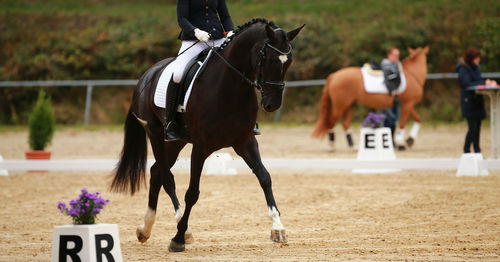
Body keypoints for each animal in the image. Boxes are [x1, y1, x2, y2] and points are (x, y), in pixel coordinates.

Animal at [111, 17, 302, 252]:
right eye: (270, 60)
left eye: (289, 61)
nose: (272, 105)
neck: (231, 87)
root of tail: (146, 76)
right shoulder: (201, 147)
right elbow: (192, 193)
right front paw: (178, 238)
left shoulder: (245, 141)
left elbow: (265, 177)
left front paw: (278, 228)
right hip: (155, 134)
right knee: (166, 177)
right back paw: (179, 228)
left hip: (176, 142)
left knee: (156, 172)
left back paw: (145, 229)